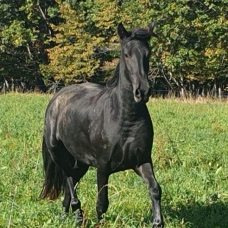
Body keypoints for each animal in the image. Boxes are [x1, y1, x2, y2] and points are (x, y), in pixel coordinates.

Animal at [40, 22, 163, 227]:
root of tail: (56, 98)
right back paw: (77, 214)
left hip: (81, 161)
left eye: (148, 53)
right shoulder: (103, 166)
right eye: (126, 54)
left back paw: (66, 217)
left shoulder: (142, 161)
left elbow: (155, 189)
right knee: (69, 181)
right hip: (59, 155)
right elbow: (102, 203)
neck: (125, 118)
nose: (143, 91)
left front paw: (158, 222)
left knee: (69, 184)